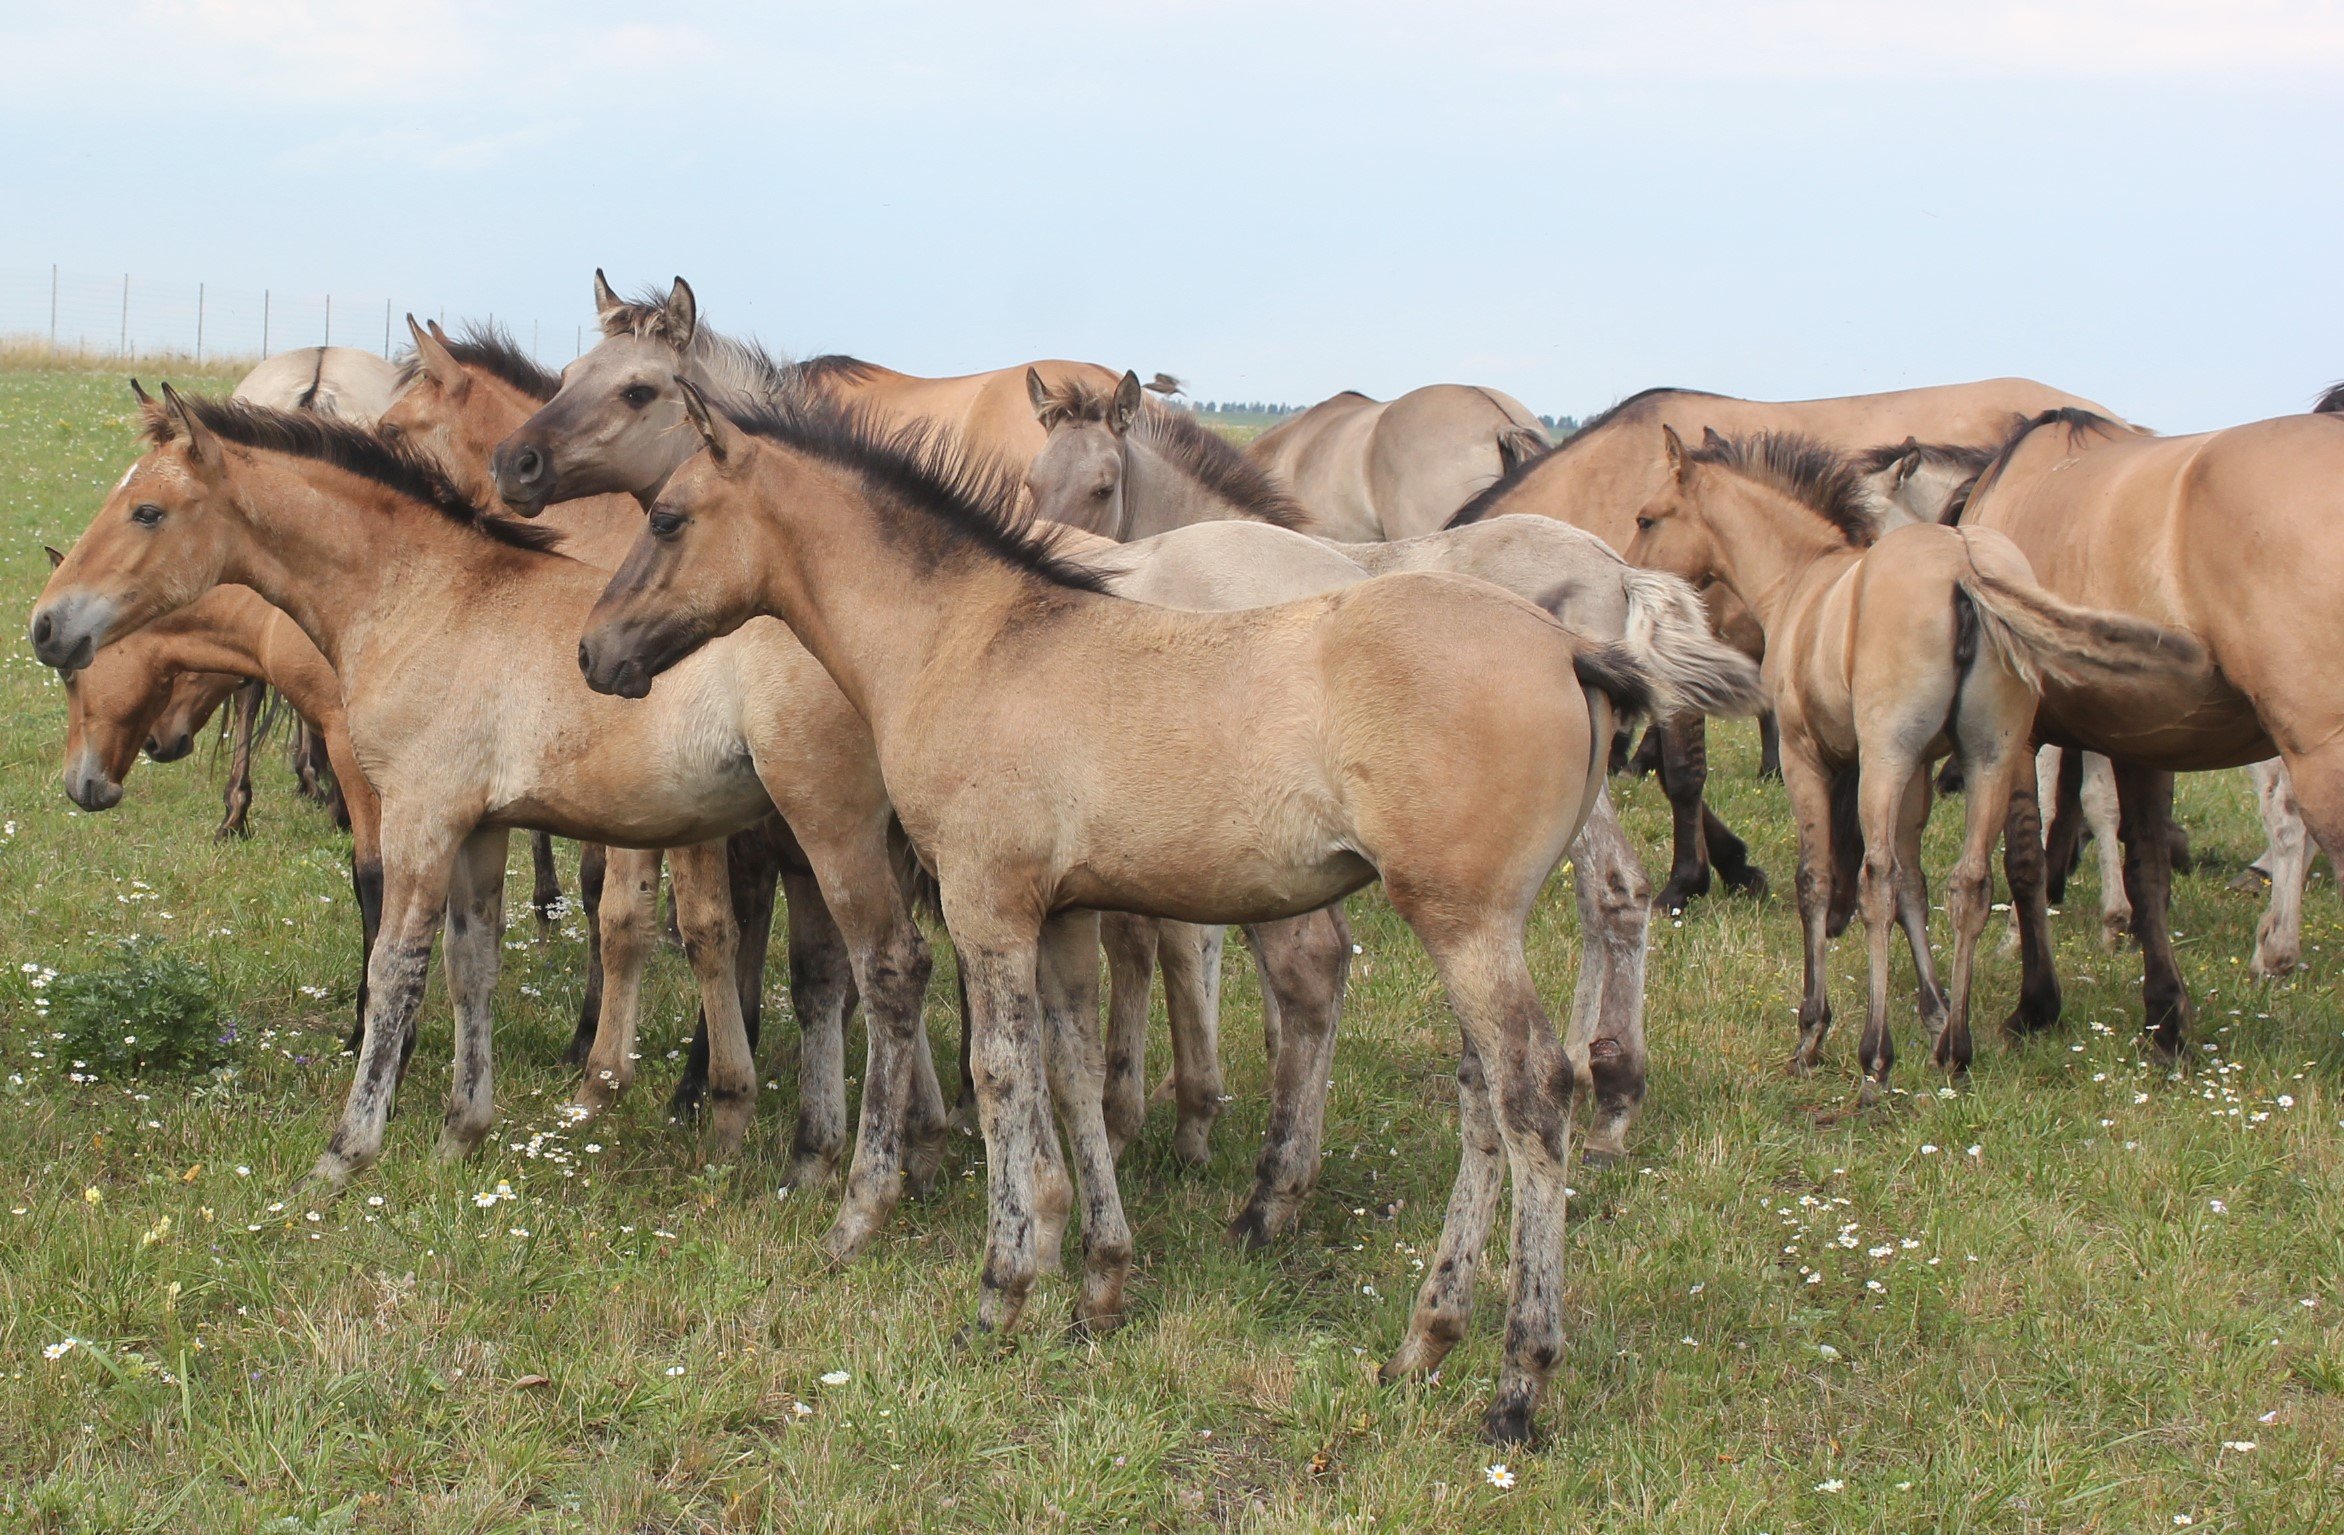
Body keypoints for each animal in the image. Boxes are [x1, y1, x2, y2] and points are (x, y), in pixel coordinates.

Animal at [25, 384, 942, 1265]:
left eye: (147, 511)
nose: (45, 626)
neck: (423, 596)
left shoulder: (418, 815)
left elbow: (397, 969)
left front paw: (345, 1153)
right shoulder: (478, 828)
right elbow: (473, 967)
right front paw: (458, 1135)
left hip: (831, 823)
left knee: (891, 967)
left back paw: (864, 1204)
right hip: (808, 840)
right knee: (829, 977)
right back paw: (821, 1160)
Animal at [1950, 405, 2344, 1059]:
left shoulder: (2019, 736)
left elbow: (2026, 861)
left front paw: (2035, 1007)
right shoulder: (2147, 742)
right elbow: (2148, 871)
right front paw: (2165, 1021)